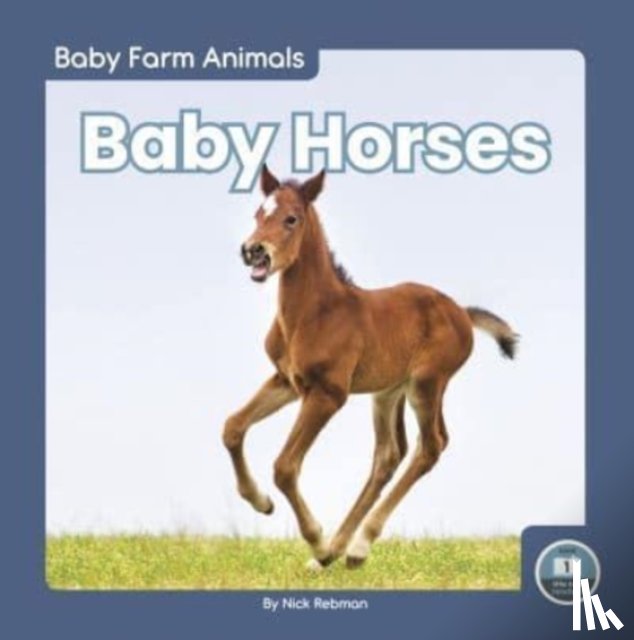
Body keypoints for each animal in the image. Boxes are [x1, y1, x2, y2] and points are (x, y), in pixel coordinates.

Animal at [222, 165, 517, 569]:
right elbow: (233, 427)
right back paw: (338, 551)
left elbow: (285, 467)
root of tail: (462, 312)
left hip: (427, 383)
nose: (253, 251)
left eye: (291, 219)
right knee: (389, 455)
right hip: (387, 392)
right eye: (258, 213)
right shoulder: (286, 381)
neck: (314, 313)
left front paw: (315, 540)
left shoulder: (329, 394)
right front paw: (261, 502)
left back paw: (354, 546)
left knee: (431, 445)